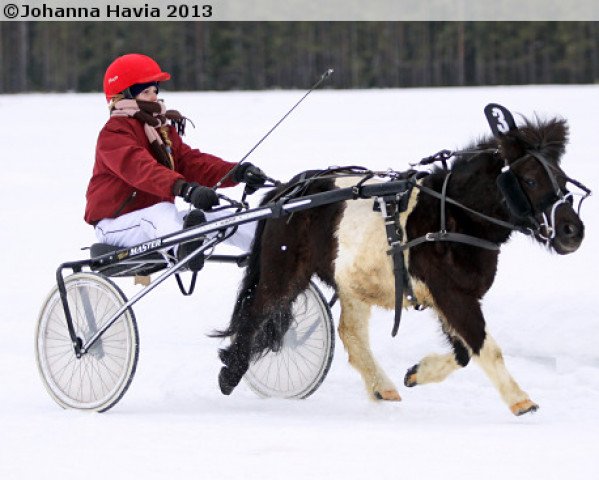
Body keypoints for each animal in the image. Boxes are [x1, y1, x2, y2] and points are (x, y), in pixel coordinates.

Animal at [213, 106, 588, 416]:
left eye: (561, 178)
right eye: (530, 179)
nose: (573, 230)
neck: (452, 215)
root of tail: (286, 192)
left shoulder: (449, 297)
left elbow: (465, 351)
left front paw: (417, 373)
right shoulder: (452, 294)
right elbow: (484, 345)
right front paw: (521, 401)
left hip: (351, 280)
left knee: (350, 333)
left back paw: (382, 388)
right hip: (284, 271)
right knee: (258, 312)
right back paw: (230, 373)